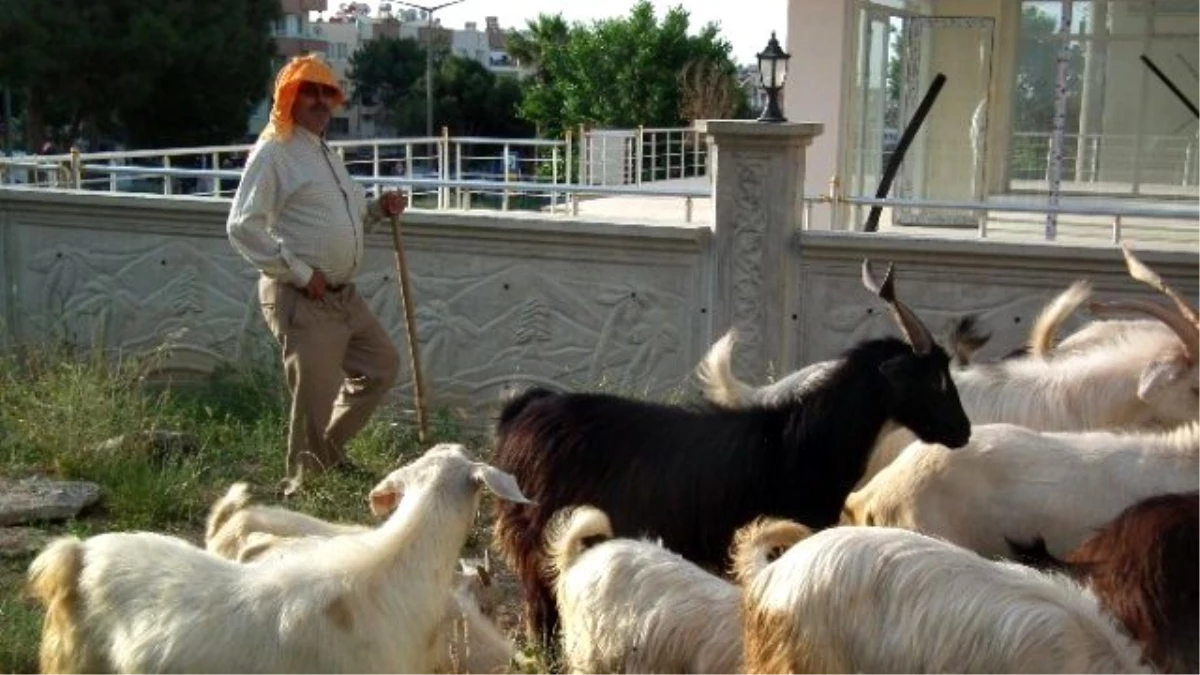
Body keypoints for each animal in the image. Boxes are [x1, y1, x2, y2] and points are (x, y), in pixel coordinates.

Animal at [492, 257, 969, 648]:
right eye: (935, 378)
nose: (962, 431)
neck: (800, 442)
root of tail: (522, 413)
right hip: (536, 538)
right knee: (541, 612)